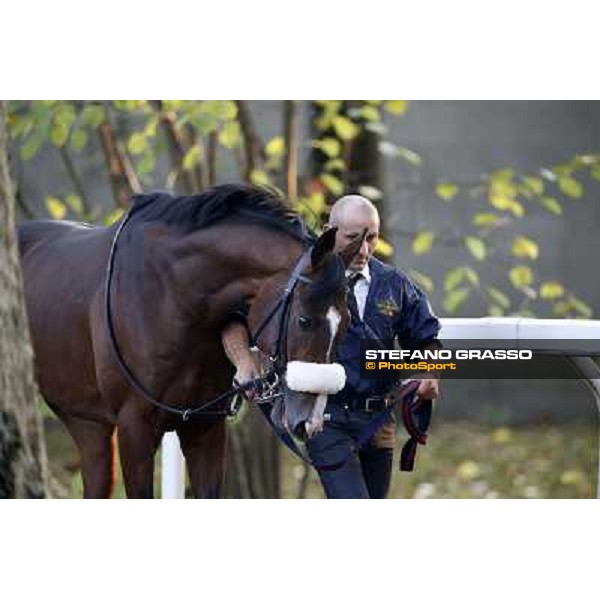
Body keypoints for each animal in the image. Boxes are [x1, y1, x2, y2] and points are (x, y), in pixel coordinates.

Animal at [18, 185, 360, 500]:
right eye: (304, 320)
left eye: (346, 324)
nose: (309, 421)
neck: (172, 298)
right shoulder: (134, 429)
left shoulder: (205, 428)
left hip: (86, 423)